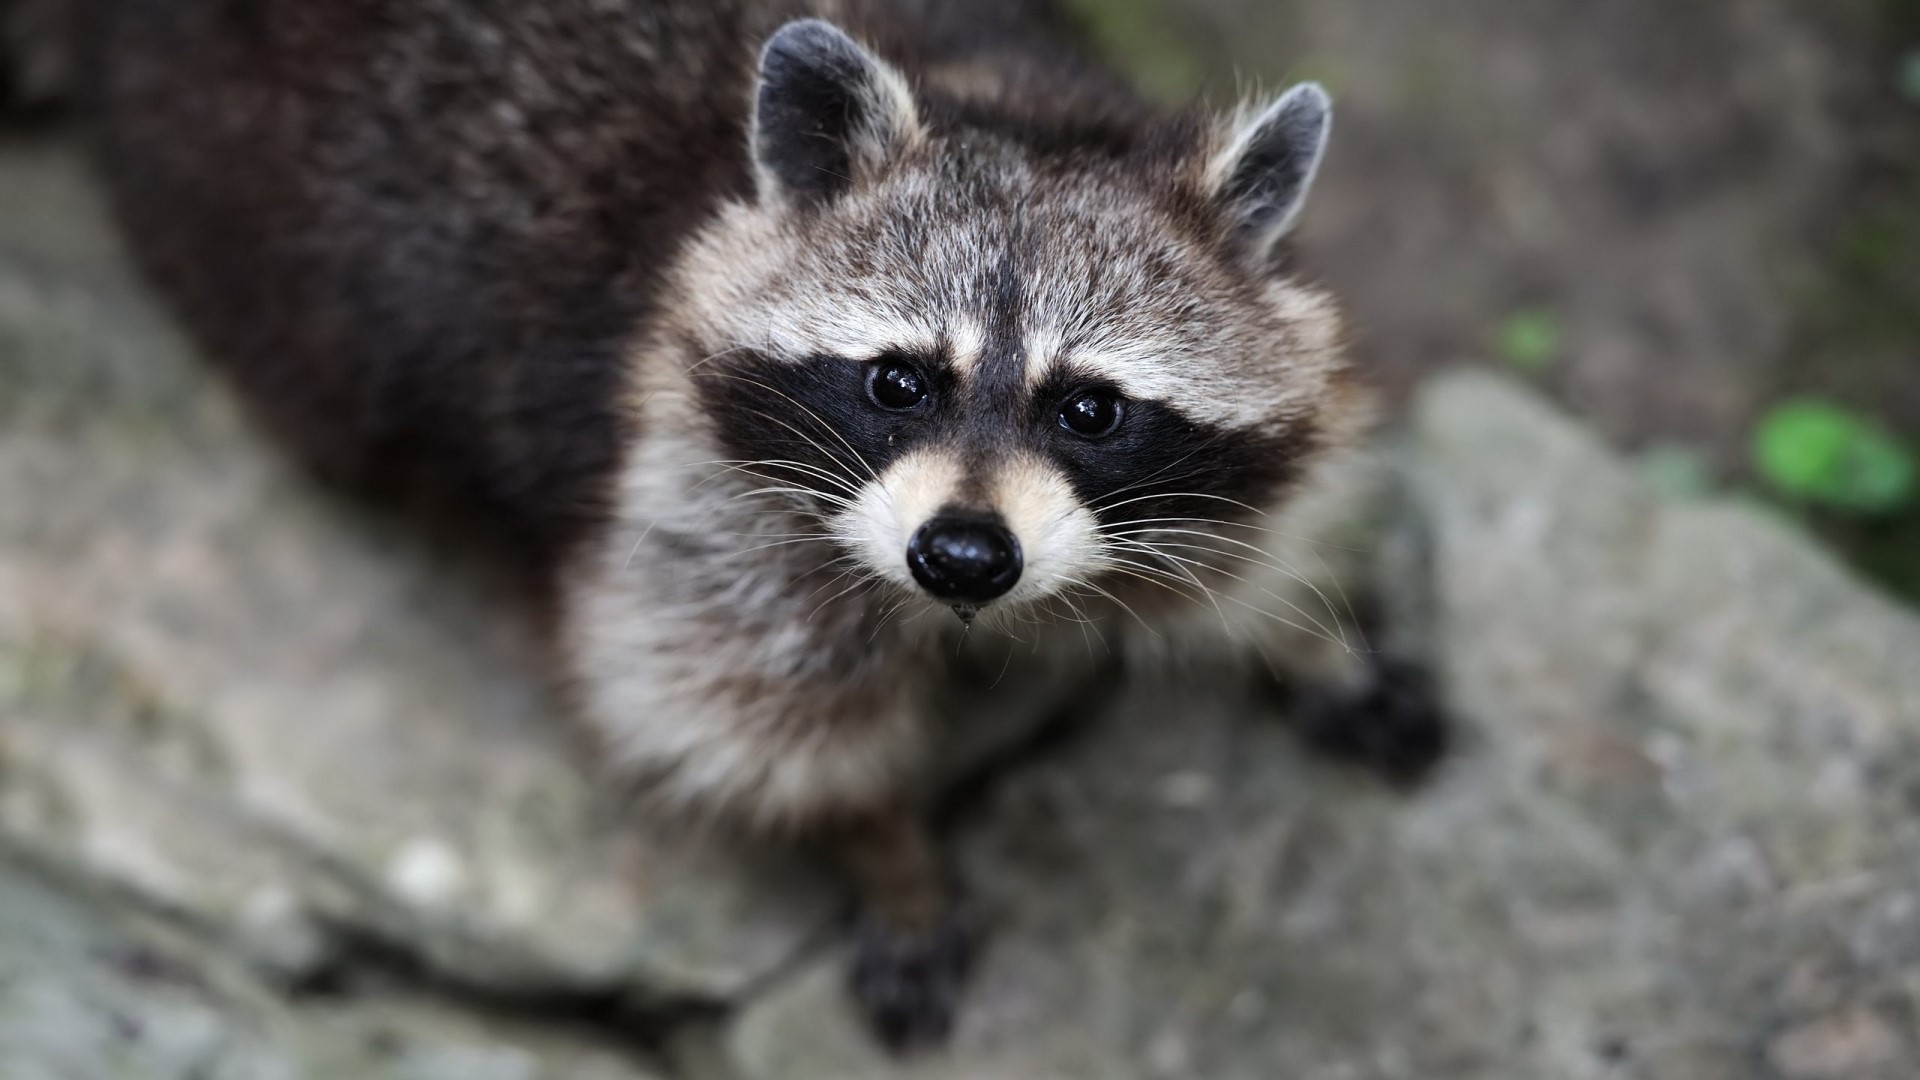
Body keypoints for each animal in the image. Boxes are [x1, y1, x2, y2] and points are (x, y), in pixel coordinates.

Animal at [72, 0, 1445, 1049]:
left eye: (1091, 407)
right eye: (899, 383)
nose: (963, 557)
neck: (1011, 109)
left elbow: (1255, 528)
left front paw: (1308, 635)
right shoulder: (681, 494)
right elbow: (749, 719)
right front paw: (884, 850)